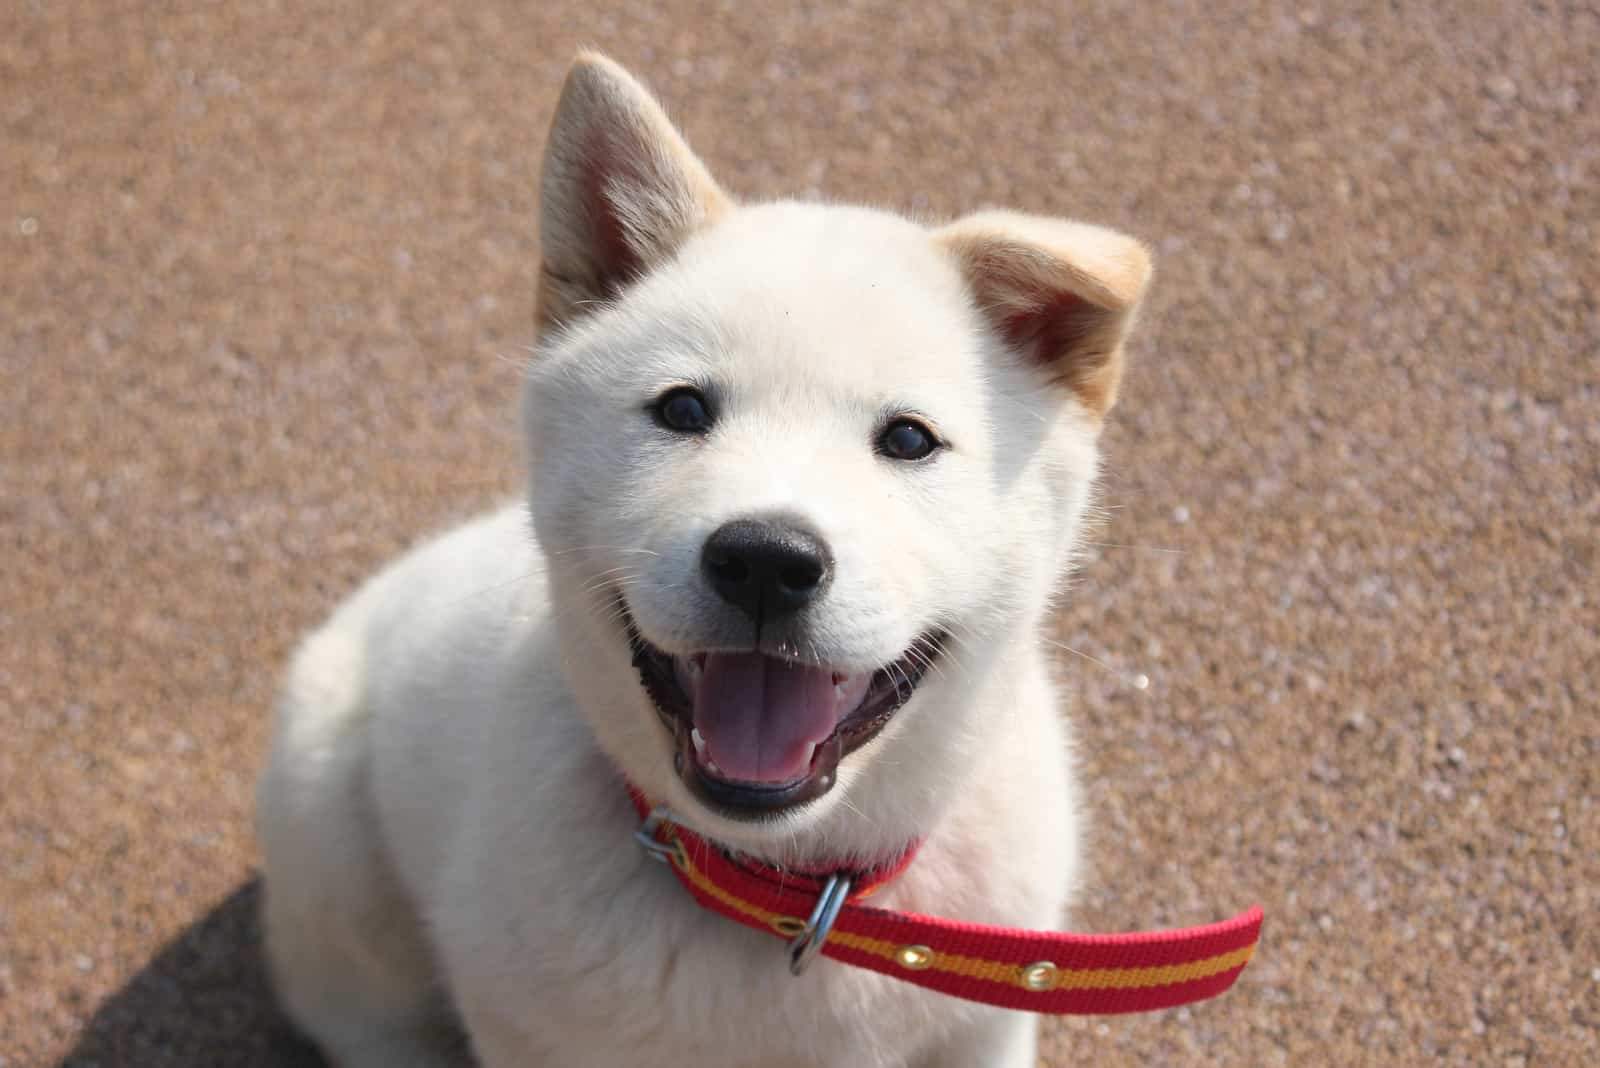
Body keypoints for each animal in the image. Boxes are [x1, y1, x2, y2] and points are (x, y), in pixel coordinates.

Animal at [256, 49, 1145, 1068]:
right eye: (681, 409)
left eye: (909, 439)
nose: (765, 560)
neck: (783, 893)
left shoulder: (985, 1025)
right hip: (334, 857)